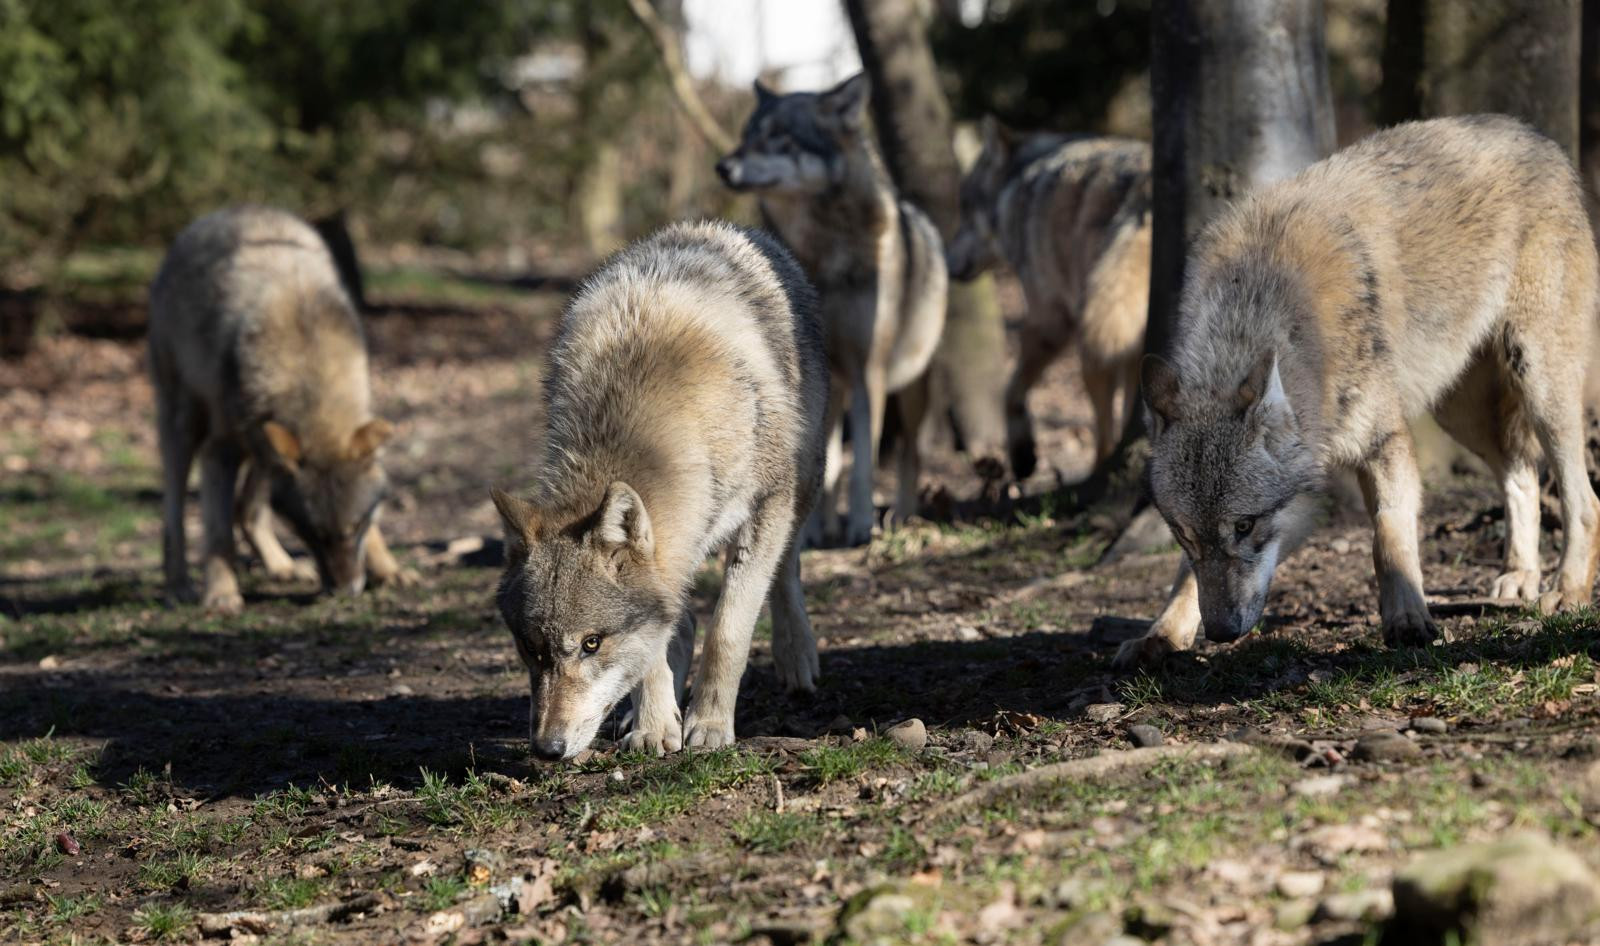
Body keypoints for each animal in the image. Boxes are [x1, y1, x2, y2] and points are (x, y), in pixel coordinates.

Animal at [148, 205, 414, 614]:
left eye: (354, 527)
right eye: (311, 533)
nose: (346, 591)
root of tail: (222, 213)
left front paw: (388, 569)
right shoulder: (219, 450)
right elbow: (218, 536)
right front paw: (222, 594)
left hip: (263, 448)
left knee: (247, 510)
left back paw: (282, 567)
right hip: (186, 428)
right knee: (174, 515)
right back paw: (179, 584)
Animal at [492, 221, 827, 760]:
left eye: (592, 643)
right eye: (531, 648)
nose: (547, 748)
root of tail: (720, 227)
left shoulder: (766, 505)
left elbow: (728, 630)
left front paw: (709, 725)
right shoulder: (666, 560)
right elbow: (655, 647)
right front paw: (652, 726)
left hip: (805, 485)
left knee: (786, 570)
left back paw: (796, 656)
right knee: (681, 620)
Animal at [716, 73, 946, 546]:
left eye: (779, 136)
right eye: (747, 135)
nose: (722, 167)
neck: (824, 255)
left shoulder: (867, 372)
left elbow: (863, 466)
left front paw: (860, 525)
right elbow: (828, 468)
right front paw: (808, 533)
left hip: (910, 390)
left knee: (910, 454)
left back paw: (901, 514)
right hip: (831, 387)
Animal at [947, 118, 1151, 479]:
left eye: (965, 210)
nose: (946, 261)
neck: (1019, 186)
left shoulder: (1047, 321)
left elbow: (1010, 390)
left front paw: (1023, 454)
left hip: (1092, 338)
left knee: (1101, 429)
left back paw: (1096, 470)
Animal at [1116, 115, 1600, 668]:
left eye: (1245, 526)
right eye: (1185, 534)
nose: (1220, 633)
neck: (1262, 304)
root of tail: (1534, 134)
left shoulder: (1386, 443)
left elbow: (1388, 536)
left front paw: (1408, 619)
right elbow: (1182, 579)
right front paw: (1161, 634)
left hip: (1539, 381)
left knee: (1583, 498)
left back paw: (1566, 590)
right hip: (1462, 412)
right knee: (1522, 474)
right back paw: (1519, 577)